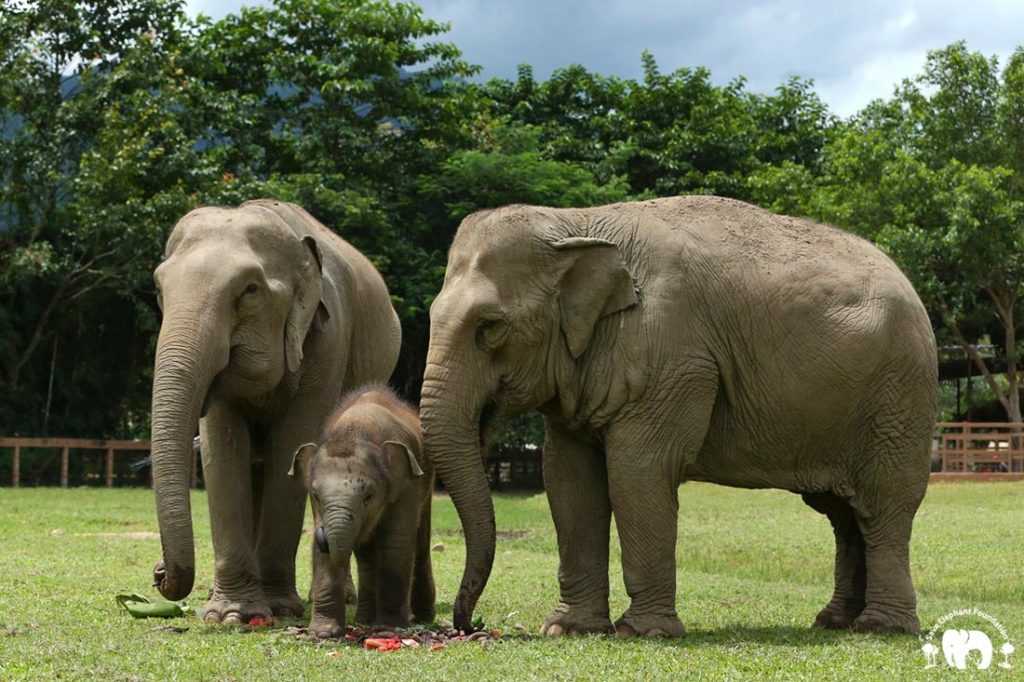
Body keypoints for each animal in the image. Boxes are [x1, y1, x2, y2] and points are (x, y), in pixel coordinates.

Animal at [149, 199, 401, 624]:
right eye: (158, 288)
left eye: (250, 289)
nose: (159, 571)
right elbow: (223, 451)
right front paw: (231, 614)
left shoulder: (328, 342)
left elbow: (292, 445)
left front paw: (278, 609)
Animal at [290, 384, 436, 637]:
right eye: (316, 495)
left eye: (369, 496)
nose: (322, 534)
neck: (357, 429)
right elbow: (328, 554)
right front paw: (324, 633)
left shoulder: (406, 483)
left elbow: (395, 542)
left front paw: (389, 627)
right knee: (366, 556)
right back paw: (364, 620)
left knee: (419, 543)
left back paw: (423, 617)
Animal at [420, 195, 936, 637]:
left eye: (489, 327)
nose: (469, 625)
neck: (578, 222)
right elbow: (569, 480)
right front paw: (568, 629)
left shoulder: (671, 358)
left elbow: (638, 472)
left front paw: (642, 632)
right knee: (843, 514)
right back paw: (833, 622)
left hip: (899, 400)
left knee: (884, 505)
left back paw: (881, 627)